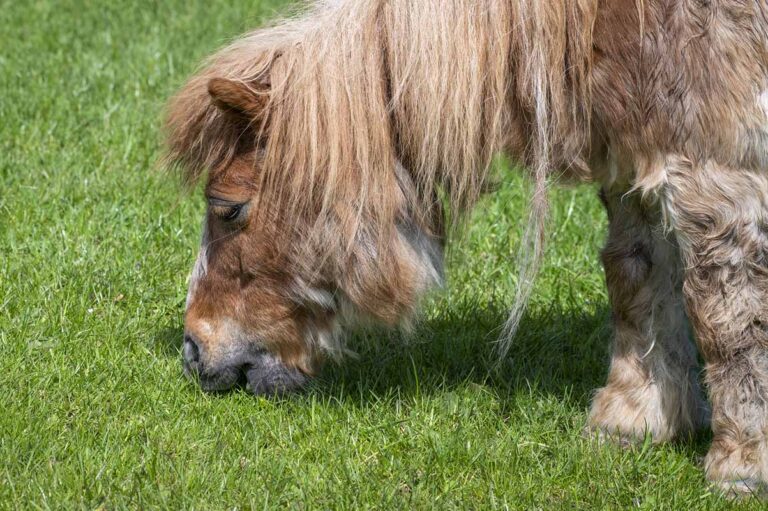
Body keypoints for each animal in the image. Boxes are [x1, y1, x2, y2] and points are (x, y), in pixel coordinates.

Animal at [164, 0, 768, 497]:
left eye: (228, 208)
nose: (193, 352)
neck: (612, 18)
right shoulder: (633, 170)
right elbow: (635, 280)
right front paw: (632, 421)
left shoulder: (717, 178)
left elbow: (727, 317)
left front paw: (742, 467)